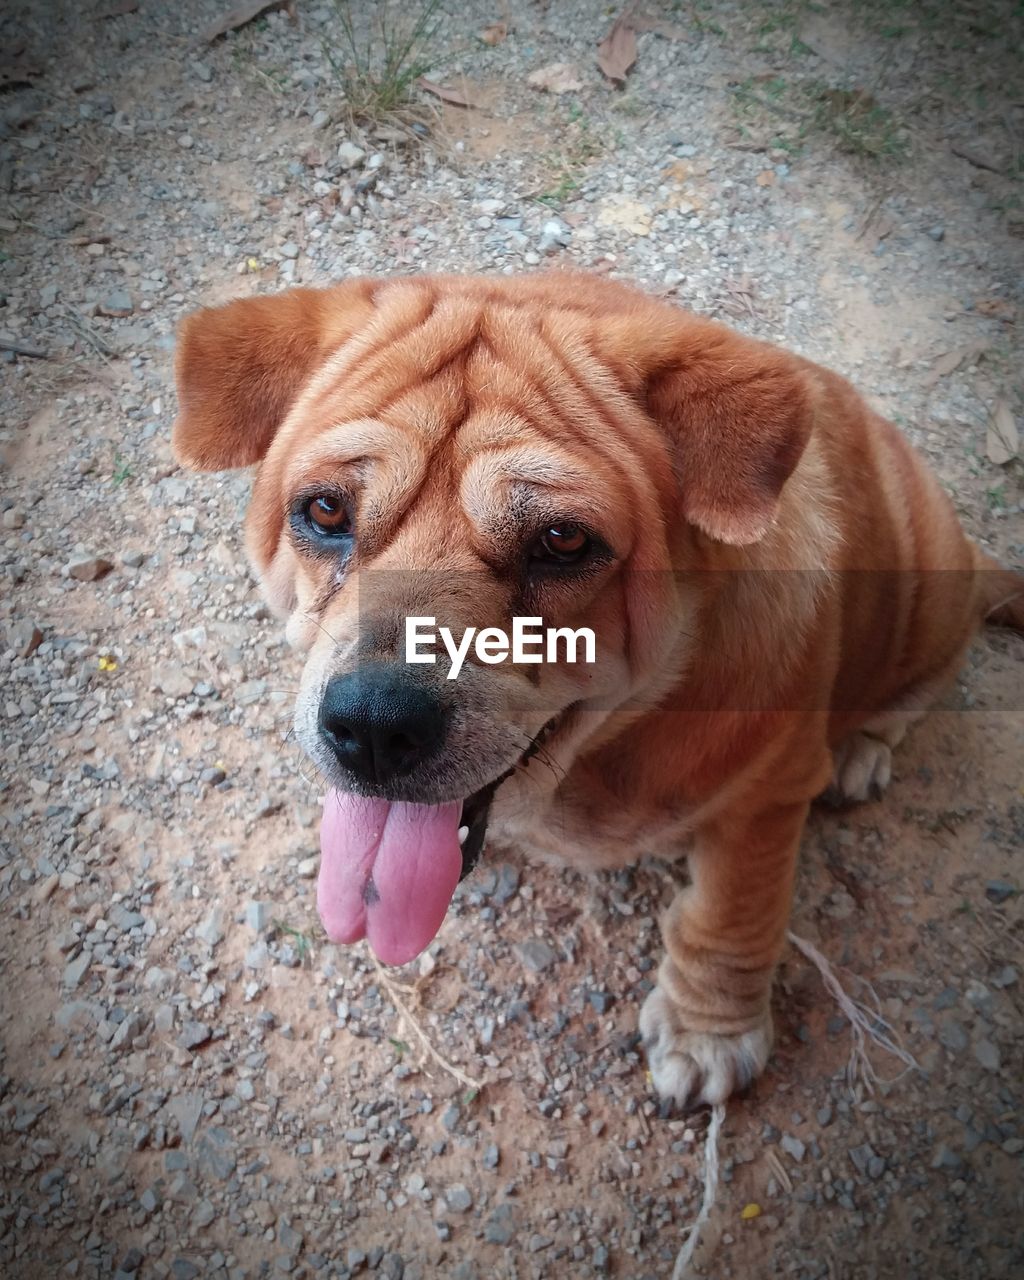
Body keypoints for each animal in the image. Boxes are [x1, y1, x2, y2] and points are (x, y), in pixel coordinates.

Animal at [171, 272, 1018, 1111]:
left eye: (563, 540)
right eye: (325, 509)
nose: (374, 726)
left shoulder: (766, 797)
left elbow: (734, 913)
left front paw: (709, 1028)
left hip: (932, 587)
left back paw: (864, 748)